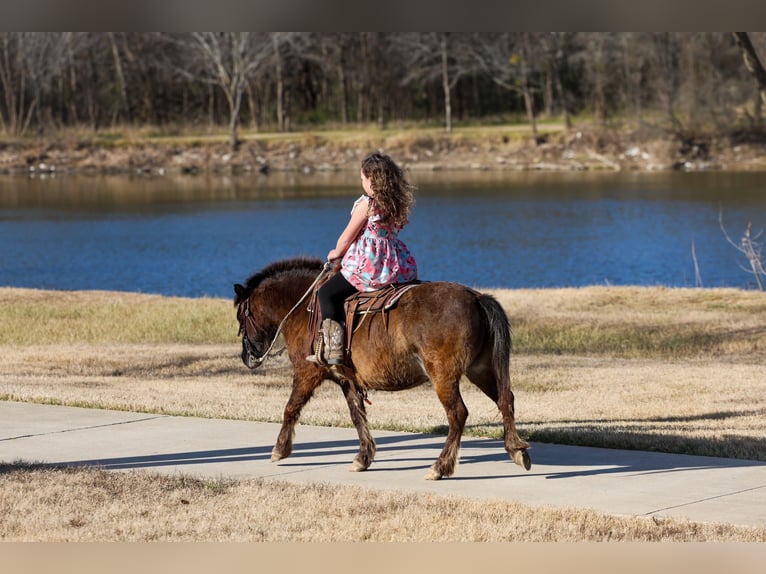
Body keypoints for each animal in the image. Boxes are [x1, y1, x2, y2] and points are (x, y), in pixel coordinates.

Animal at [233, 256, 531, 480]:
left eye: (241, 316)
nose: (247, 357)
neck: (304, 306)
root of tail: (477, 298)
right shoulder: (347, 379)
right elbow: (357, 415)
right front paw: (363, 457)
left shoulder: (308, 373)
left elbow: (291, 408)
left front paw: (279, 449)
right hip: (479, 369)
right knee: (505, 400)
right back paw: (516, 449)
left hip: (443, 375)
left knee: (458, 414)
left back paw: (440, 466)